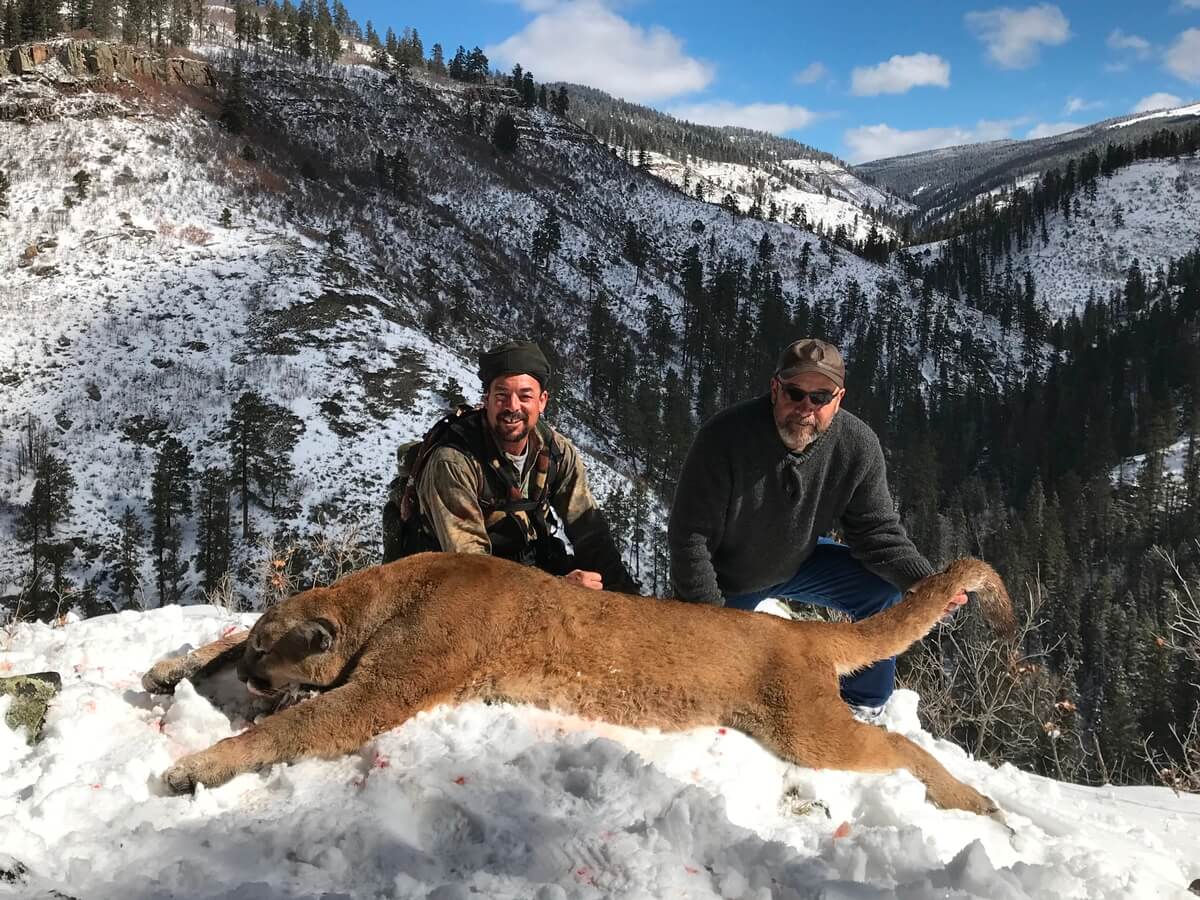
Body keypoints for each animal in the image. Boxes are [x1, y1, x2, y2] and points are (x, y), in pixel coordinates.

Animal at [143, 552, 1015, 815]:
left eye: (271, 653)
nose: (255, 676)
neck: (385, 597)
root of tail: (795, 629)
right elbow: (218, 645)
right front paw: (170, 667)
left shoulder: (386, 689)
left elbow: (290, 726)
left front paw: (193, 767)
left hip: (805, 730)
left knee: (899, 746)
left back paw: (977, 803)